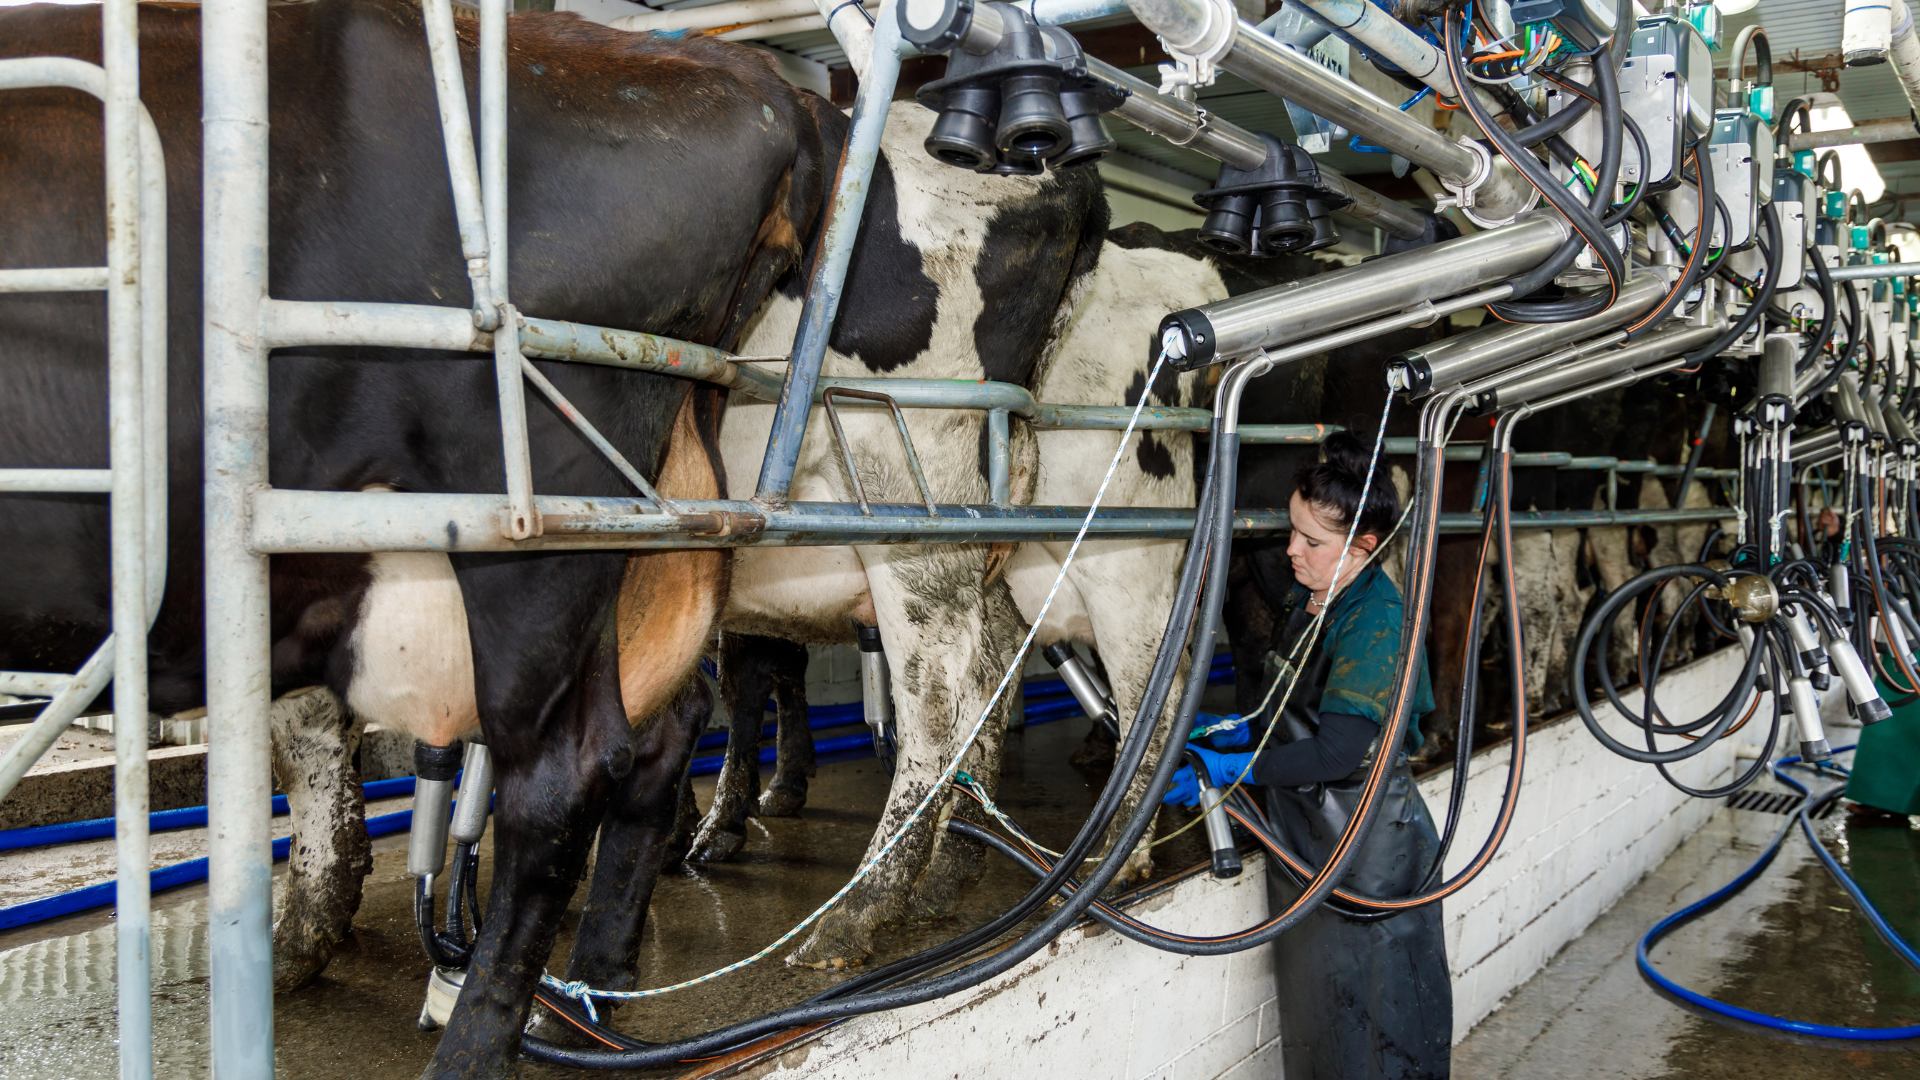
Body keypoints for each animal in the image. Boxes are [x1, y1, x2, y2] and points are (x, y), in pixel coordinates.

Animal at [3, 4, 837, 1068]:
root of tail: (747, 73)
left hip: (534, 534)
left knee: (567, 774)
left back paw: (478, 1044)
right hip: (637, 540)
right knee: (663, 725)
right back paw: (594, 986)